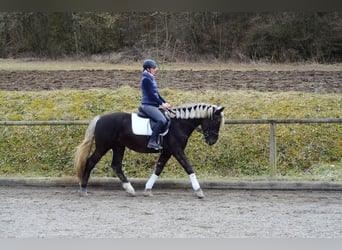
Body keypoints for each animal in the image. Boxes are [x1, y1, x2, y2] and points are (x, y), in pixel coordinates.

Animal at [74, 102, 224, 198]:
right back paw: (83, 189)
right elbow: (188, 167)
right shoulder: (177, 150)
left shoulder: (167, 151)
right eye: (216, 121)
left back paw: (130, 189)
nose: (212, 141)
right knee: (90, 162)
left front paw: (147, 189)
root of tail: (100, 119)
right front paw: (199, 191)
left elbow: (158, 168)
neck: (179, 124)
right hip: (103, 146)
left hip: (119, 146)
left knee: (116, 165)